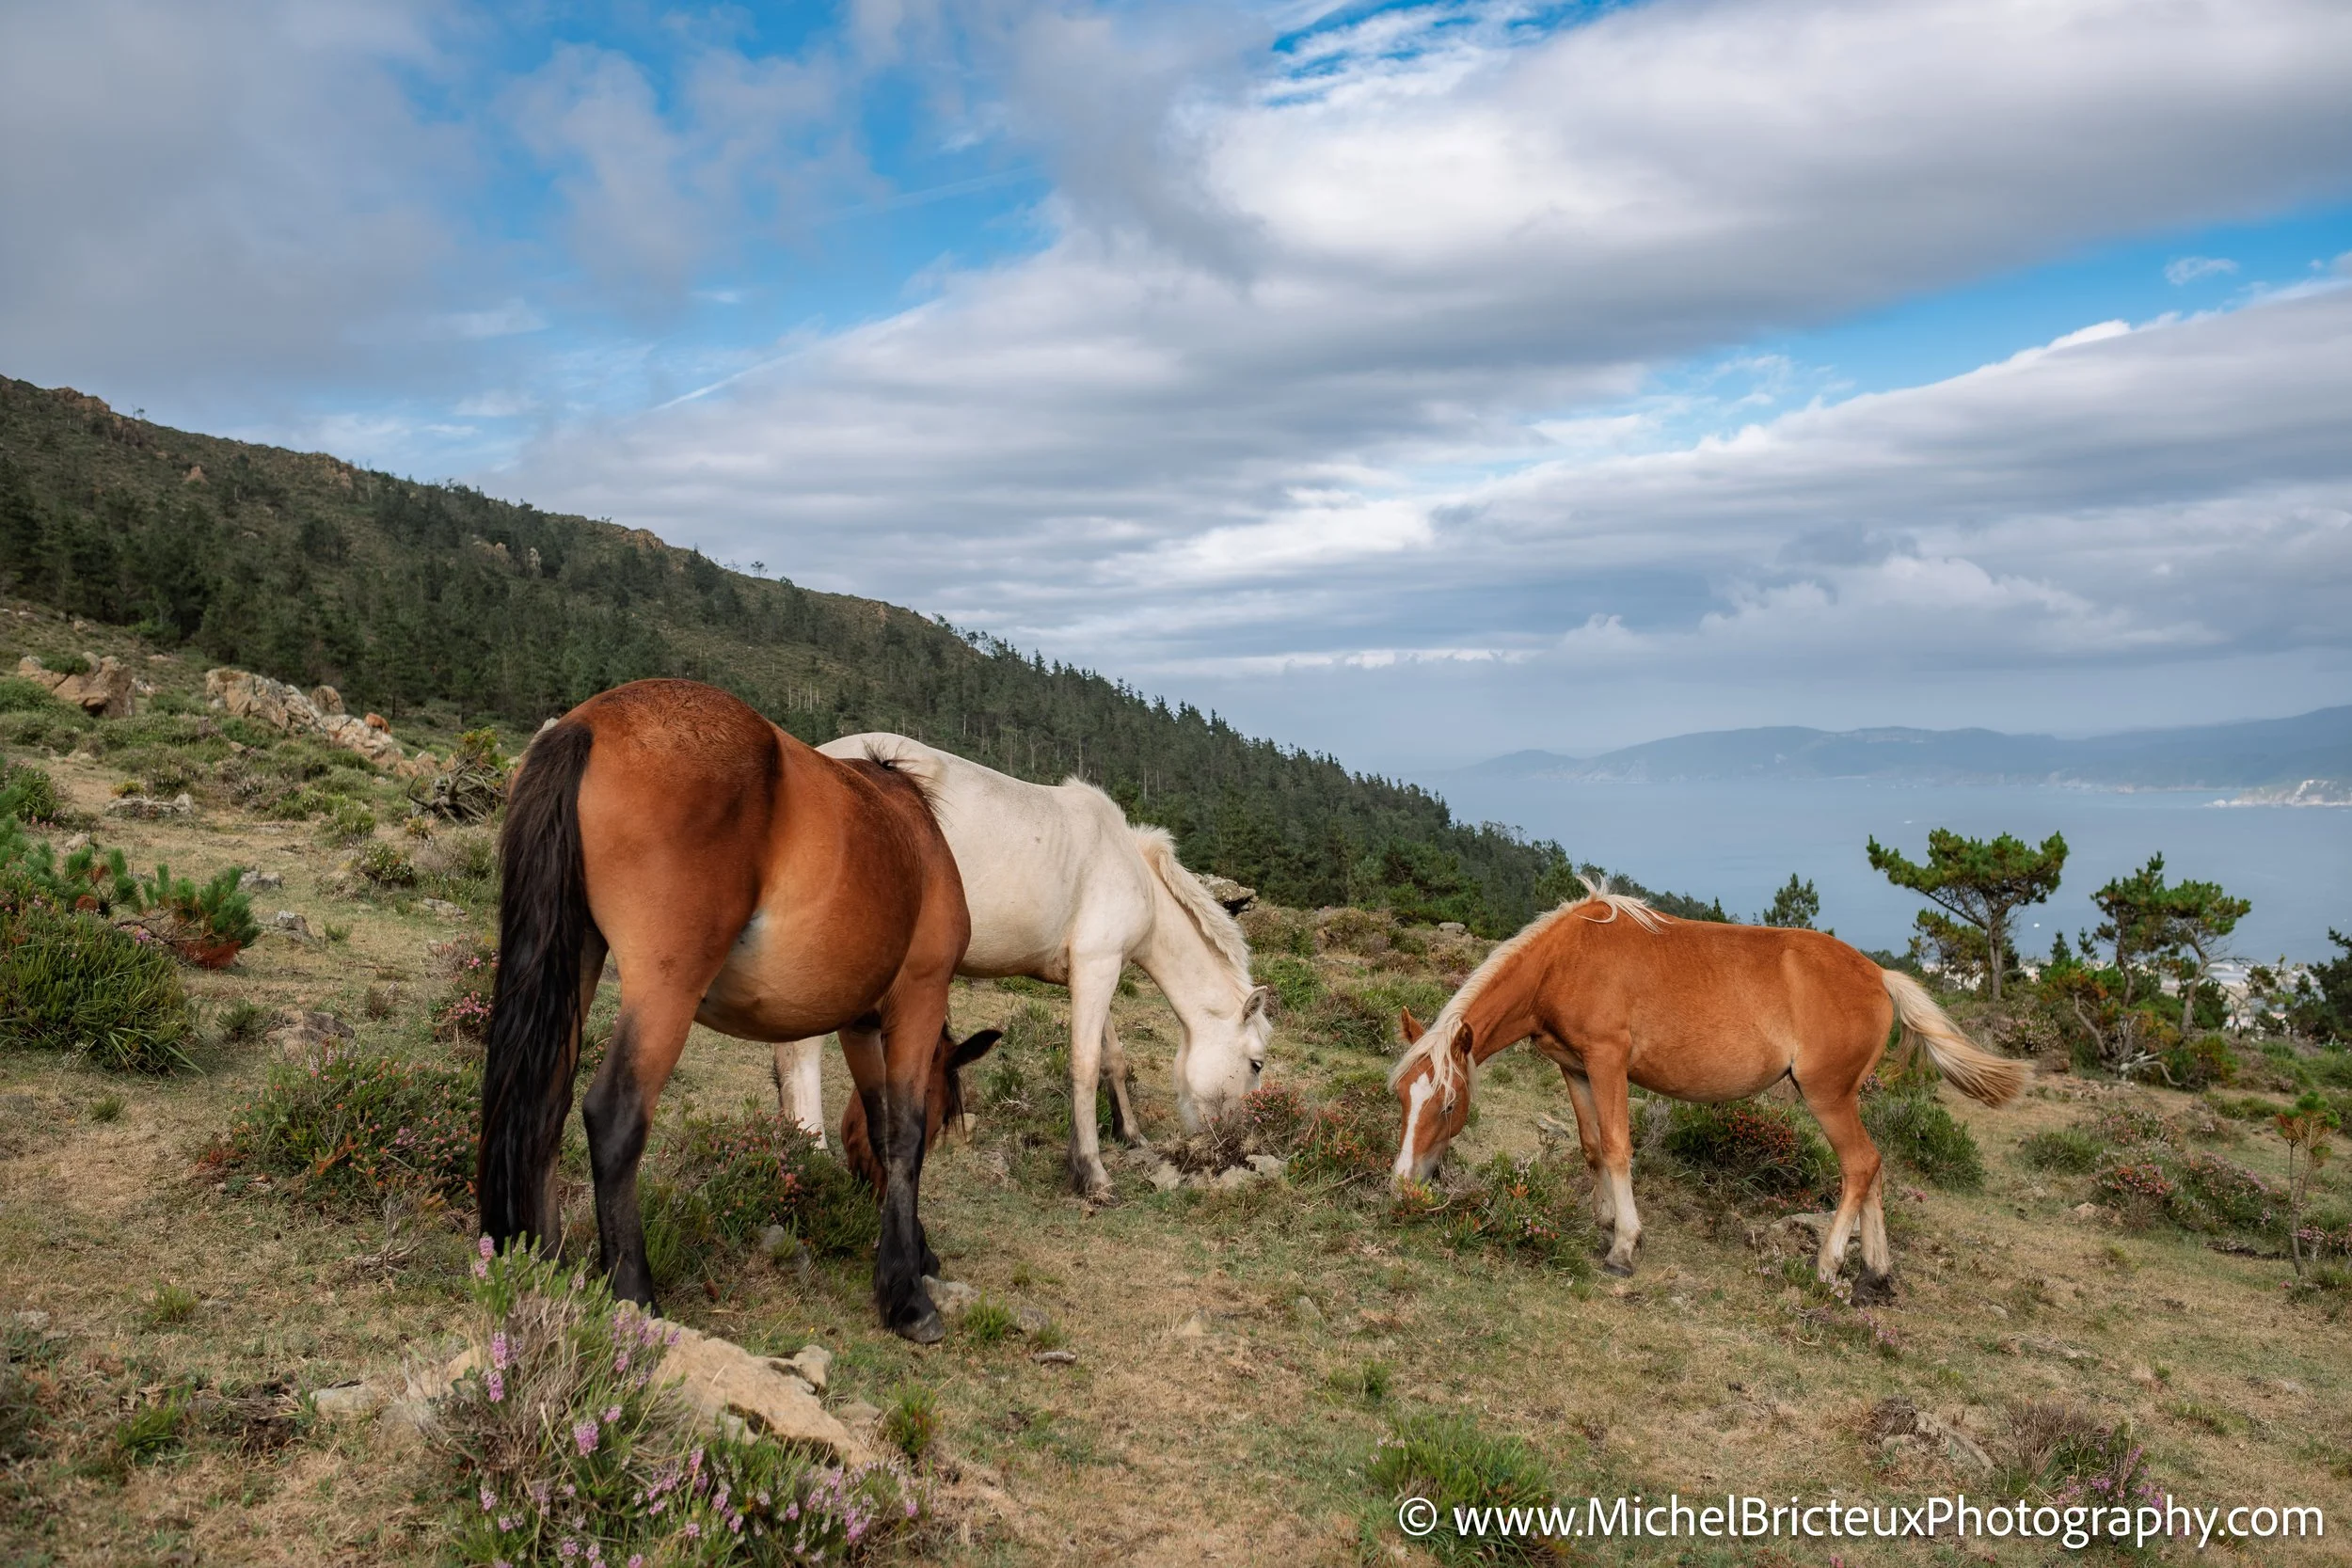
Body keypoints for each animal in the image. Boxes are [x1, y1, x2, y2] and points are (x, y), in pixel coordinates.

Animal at [478, 680, 972, 1342]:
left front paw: (912, 1254)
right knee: (612, 1115)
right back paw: (634, 1295)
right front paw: (908, 1293)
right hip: (665, 989)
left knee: (545, 1105)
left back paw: (550, 1267)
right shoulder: (919, 997)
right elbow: (904, 1136)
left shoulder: (861, 1027)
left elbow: (879, 1124)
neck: (912, 833)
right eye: (948, 1115)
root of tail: (588, 723)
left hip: (576, 955)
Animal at [776, 733, 1272, 1197]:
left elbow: (1112, 1059)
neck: (1133, 874)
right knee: (803, 1052)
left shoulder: (1094, 971)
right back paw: (814, 1157)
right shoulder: (1098, 968)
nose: (1234, 1142)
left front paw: (1130, 1134)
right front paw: (1092, 1174)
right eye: (1256, 1064)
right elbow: (1085, 1066)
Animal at [1389, 879, 2026, 1297]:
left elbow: (1617, 1147)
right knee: (1876, 1171)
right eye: (1402, 1099)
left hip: (1828, 1097)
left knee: (1860, 1165)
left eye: (1449, 1103)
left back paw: (1828, 1266)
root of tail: (1879, 975)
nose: (1402, 1185)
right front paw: (1605, 1223)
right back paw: (1877, 1272)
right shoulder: (1575, 1068)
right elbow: (1592, 1147)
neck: (1566, 960)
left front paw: (1623, 1247)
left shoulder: (1608, 1061)